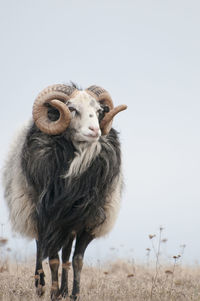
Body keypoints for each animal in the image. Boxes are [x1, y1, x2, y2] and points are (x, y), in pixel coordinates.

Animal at [2, 83, 127, 298]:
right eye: (72, 109)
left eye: (99, 111)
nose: (95, 130)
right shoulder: (49, 217)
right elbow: (53, 259)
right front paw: (53, 294)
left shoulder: (86, 220)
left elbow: (76, 260)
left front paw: (73, 294)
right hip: (36, 214)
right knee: (40, 247)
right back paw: (41, 286)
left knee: (66, 255)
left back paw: (64, 289)